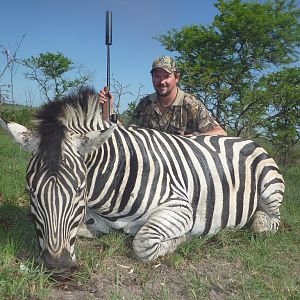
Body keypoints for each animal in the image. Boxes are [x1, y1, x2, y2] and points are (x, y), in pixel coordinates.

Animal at [0, 86, 284, 272]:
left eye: (79, 189)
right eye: (30, 191)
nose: (57, 266)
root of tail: (246, 138)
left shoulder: (181, 208)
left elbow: (143, 243)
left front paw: (183, 239)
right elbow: (82, 229)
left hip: (270, 188)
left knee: (269, 221)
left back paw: (254, 222)